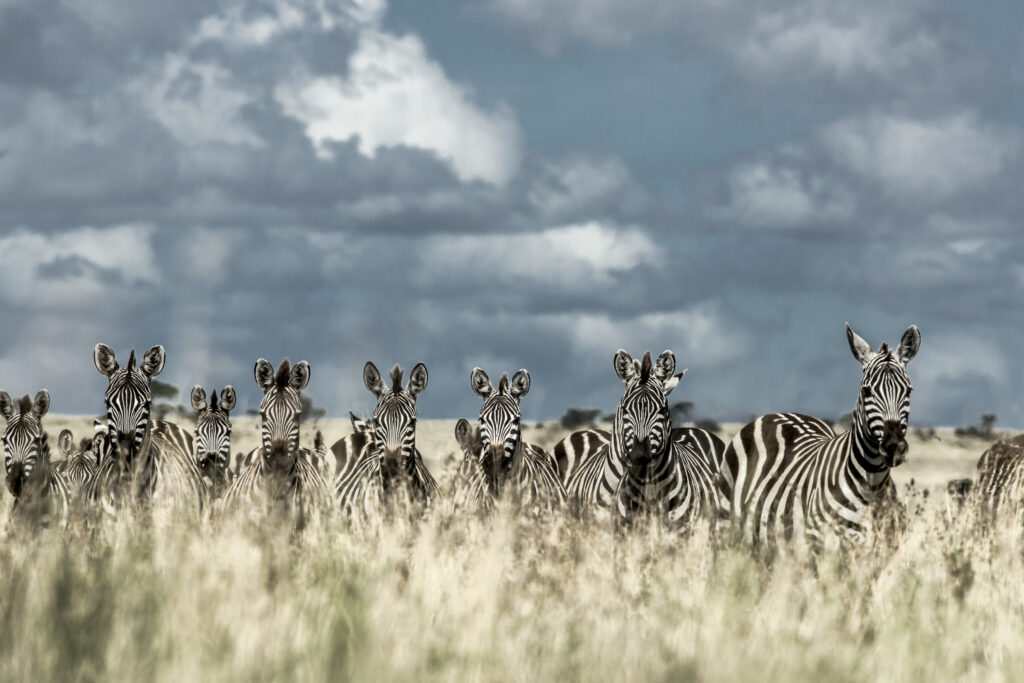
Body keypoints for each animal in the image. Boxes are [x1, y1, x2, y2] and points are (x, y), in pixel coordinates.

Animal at [717, 324, 921, 550]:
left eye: (908, 391)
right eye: (867, 391)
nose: (894, 447)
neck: (872, 485)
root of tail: (775, 414)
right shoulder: (819, 543)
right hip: (726, 527)